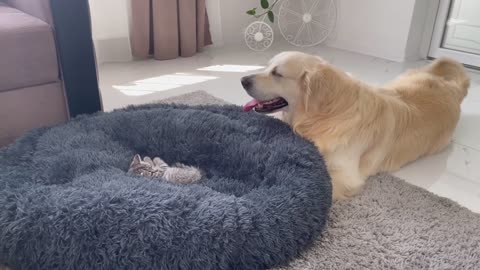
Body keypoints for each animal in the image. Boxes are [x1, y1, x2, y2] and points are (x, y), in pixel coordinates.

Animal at [240, 51, 468, 200]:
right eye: (268, 66)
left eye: (277, 73)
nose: (242, 80)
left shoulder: (346, 176)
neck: (325, 115)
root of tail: (452, 88)